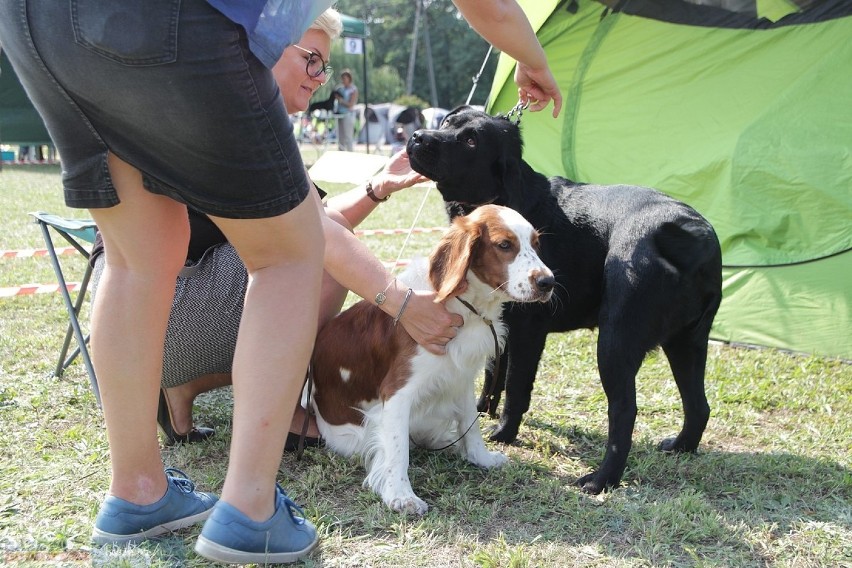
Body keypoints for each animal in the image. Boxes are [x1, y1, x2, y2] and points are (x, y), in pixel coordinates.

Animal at [406, 106, 720, 492]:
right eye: (449, 122)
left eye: (471, 140)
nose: (418, 136)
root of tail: (694, 234)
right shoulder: (500, 321)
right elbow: (494, 373)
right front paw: (480, 410)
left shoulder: (528, 331)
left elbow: (516, 388)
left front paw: (504, 433)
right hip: (687, 343)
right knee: (699, 405)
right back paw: (680, 447)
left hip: (615, 342)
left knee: (625, 411)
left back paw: (602, 479)